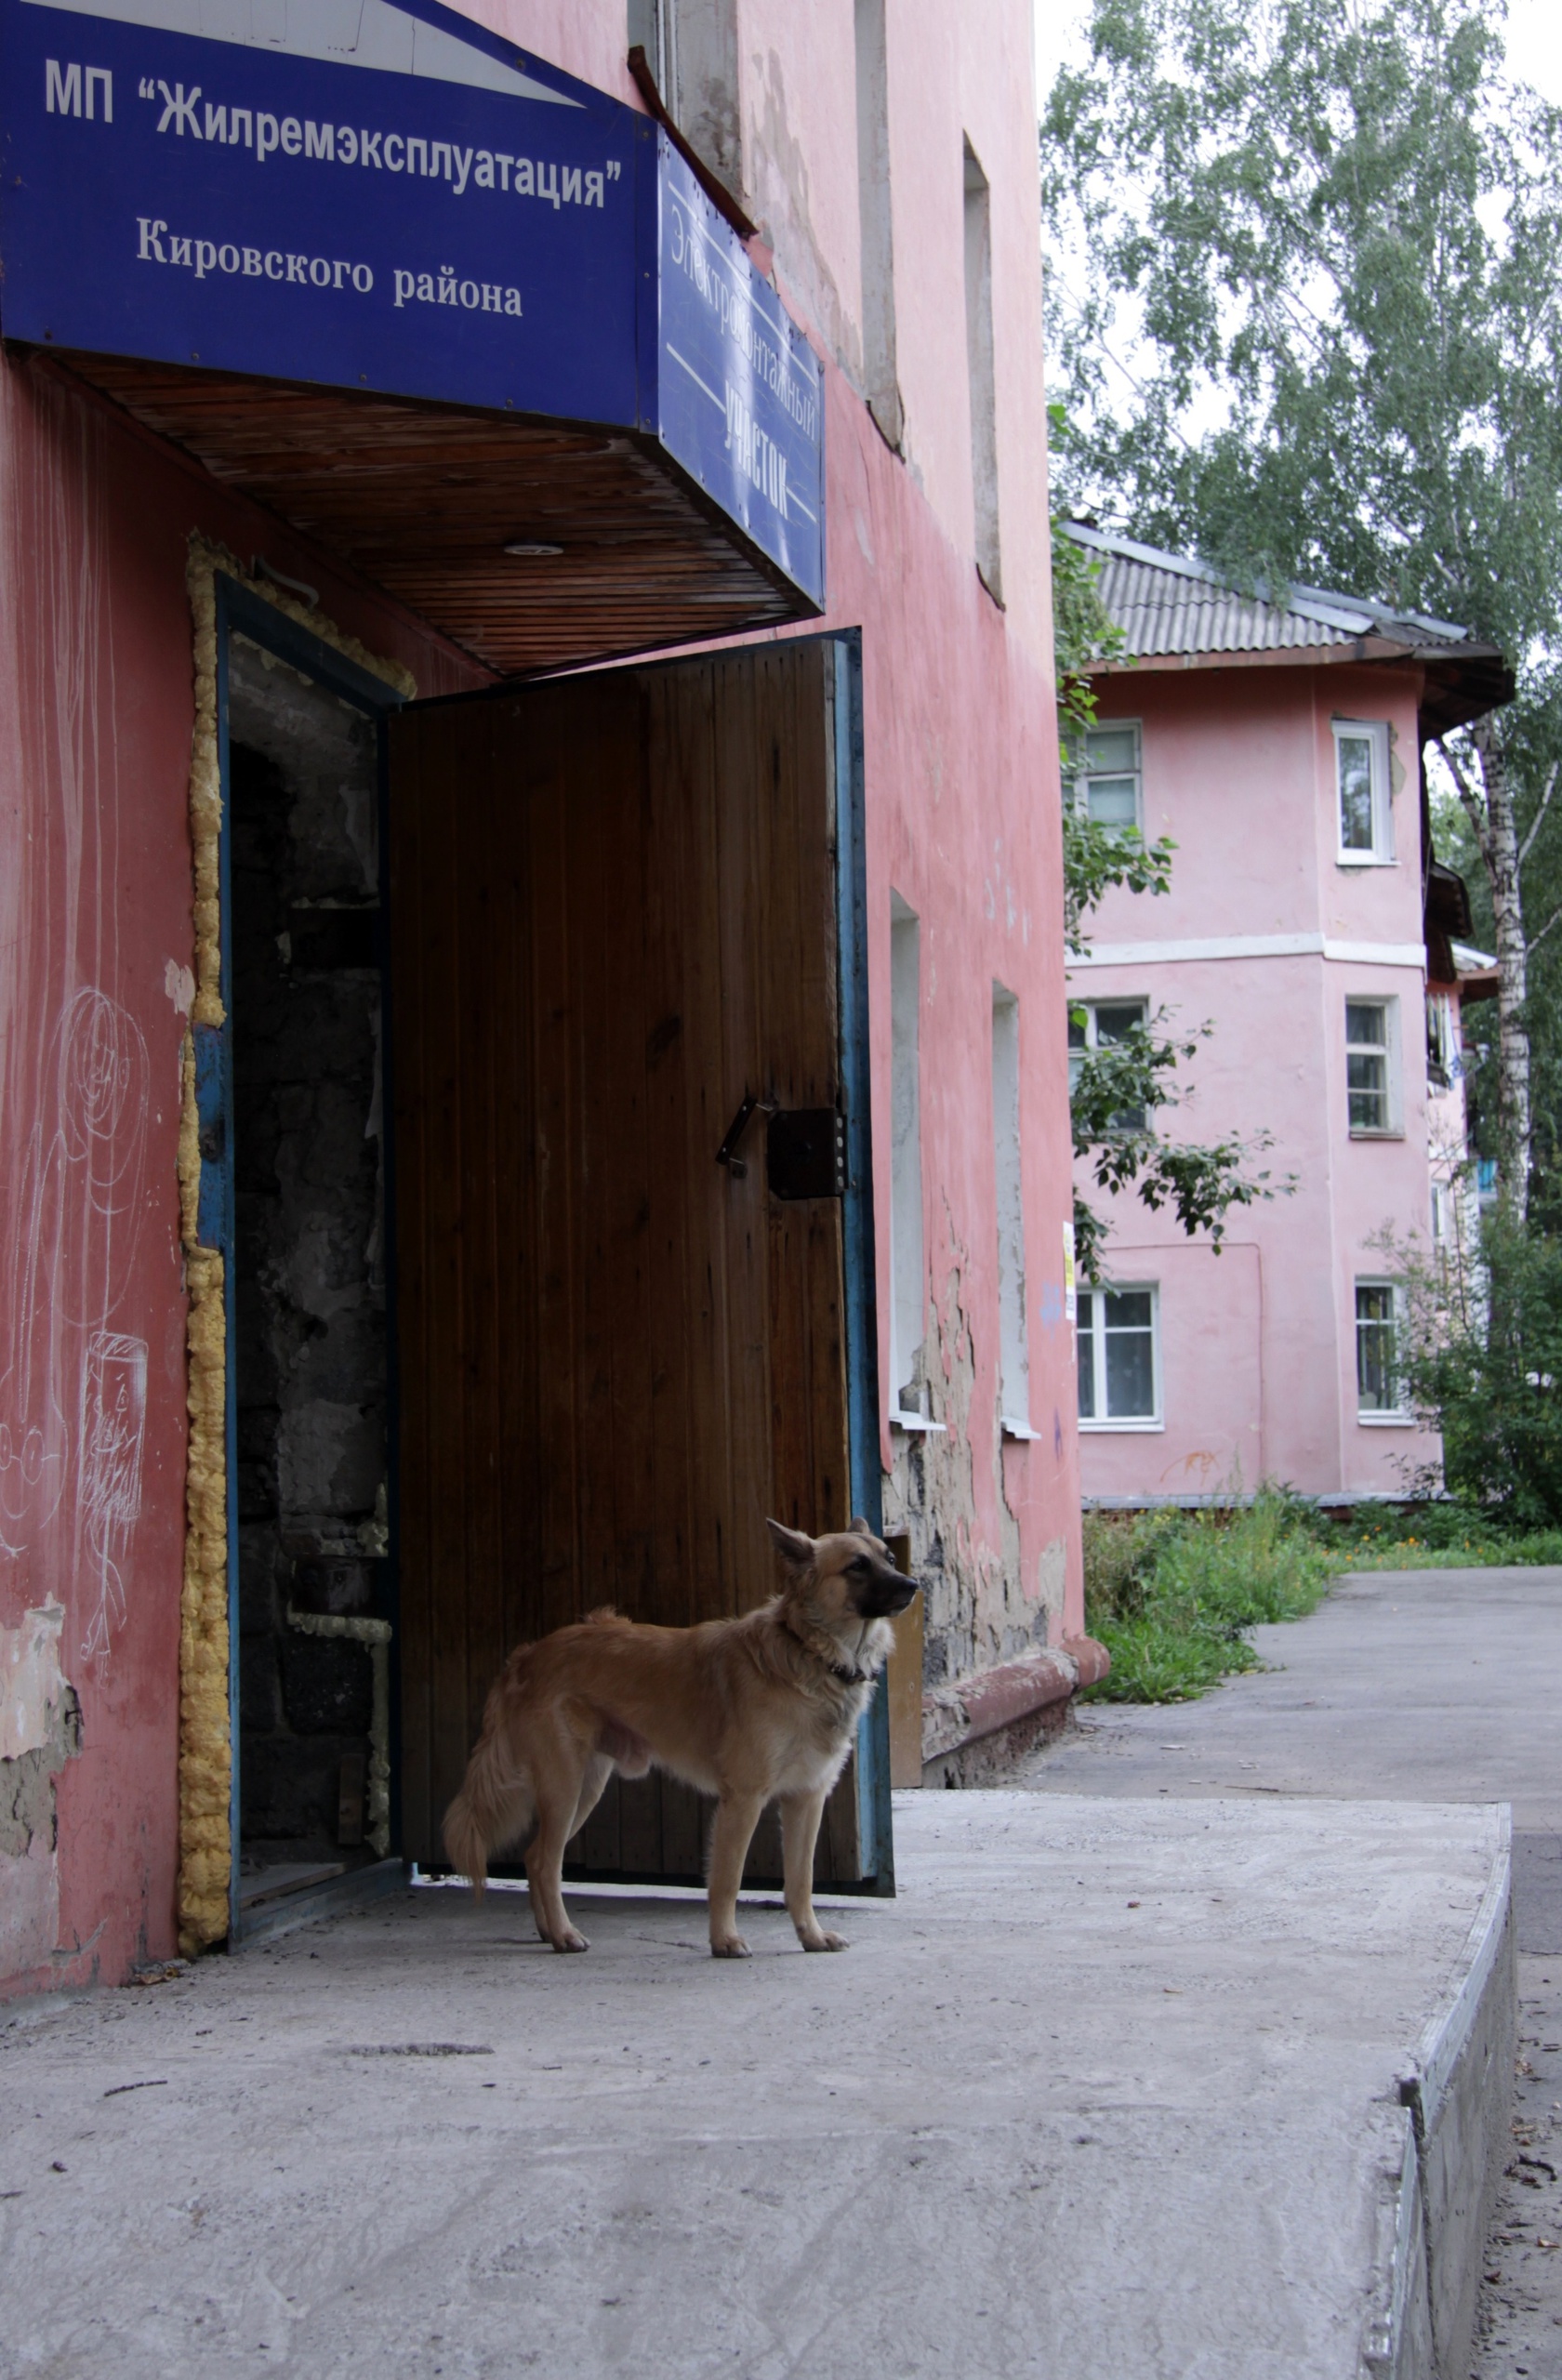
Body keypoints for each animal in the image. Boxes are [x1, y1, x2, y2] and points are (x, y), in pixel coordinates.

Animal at [443, 1523, 914, 1951]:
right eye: (857, 1566)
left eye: (889, 1559)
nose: (913, 1585)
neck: (809, 1650)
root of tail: (527, 1656)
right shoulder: (743, 1800)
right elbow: (728, 1878)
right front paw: (724, 1940)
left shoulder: (806, 1798)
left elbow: (801, 1880)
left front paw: (811, 1937)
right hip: (565, 1787)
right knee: (544, 1861)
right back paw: (563, 1933)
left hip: (586, 1788)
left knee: (535, 1856)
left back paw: (547, 1932)